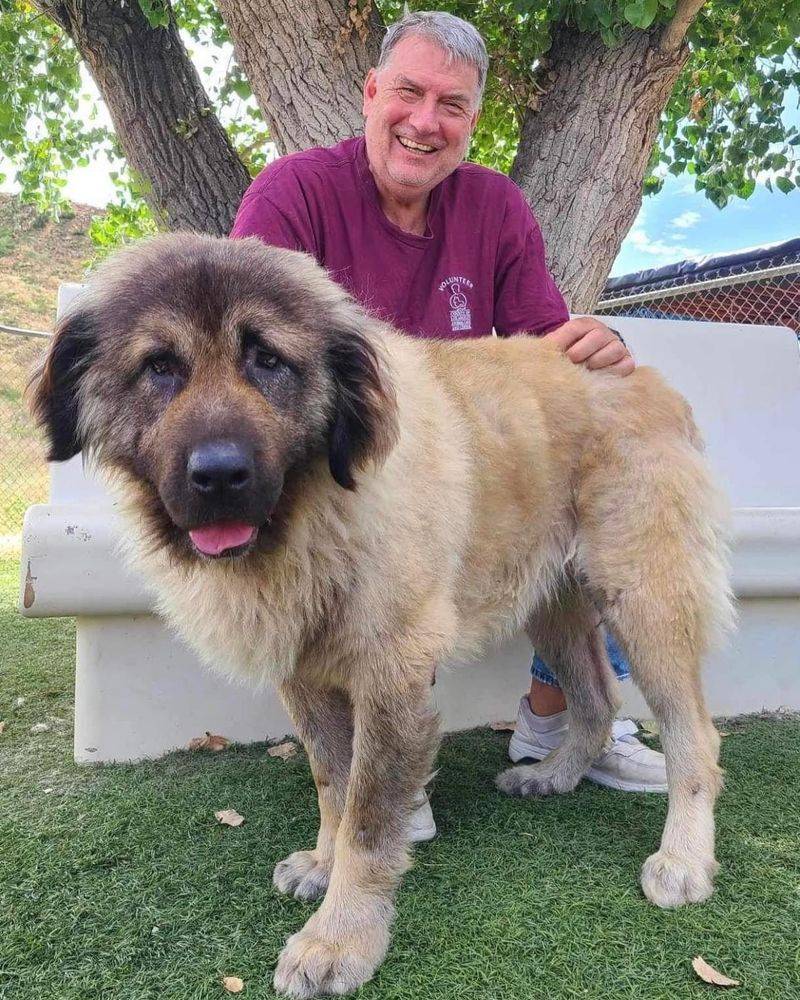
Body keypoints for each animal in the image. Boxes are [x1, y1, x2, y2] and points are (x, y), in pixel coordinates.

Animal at [30, 233, 733, 998]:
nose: (219, 476)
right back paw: (554, 775)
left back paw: (683, 859)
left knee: (695, 734)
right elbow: (332, 786)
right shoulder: (306, 673)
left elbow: (367, 818)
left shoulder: (390, 674)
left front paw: (340, 938)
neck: (315, 511)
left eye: (268, 360)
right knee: (598, 699)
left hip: (642, 595)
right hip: (553, 605)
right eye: (158, 366)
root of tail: (650, 379)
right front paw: (322, 863)